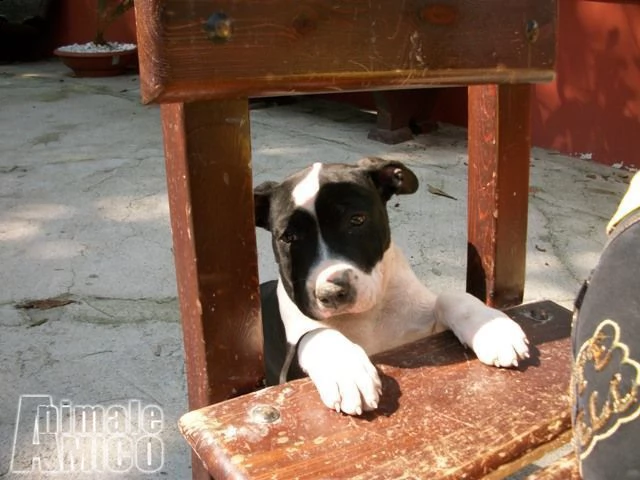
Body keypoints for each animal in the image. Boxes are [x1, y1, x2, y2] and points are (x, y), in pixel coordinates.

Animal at [255, 158, 528, 416]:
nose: (330, 294)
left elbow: (450, 297)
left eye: (357, 219)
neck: (365, 318)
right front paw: (346, 370)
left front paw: (492, 327)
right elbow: (316, 333)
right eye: (288, 237)